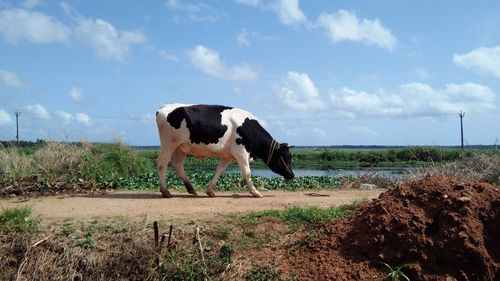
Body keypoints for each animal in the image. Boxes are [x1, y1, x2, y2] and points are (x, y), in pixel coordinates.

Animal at [153, 104, 292, 198]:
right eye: (285, 158)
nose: (292, 175)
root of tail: (164, 107)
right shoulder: (241, 153)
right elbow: (247, 173)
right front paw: (255, 192)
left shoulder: (228, 156)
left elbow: (219, 171)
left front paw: (210, 191)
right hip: (169, 143)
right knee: (162, 163)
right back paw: (165, 191)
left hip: (181, 147)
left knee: (177, 164)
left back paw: (191, 189)